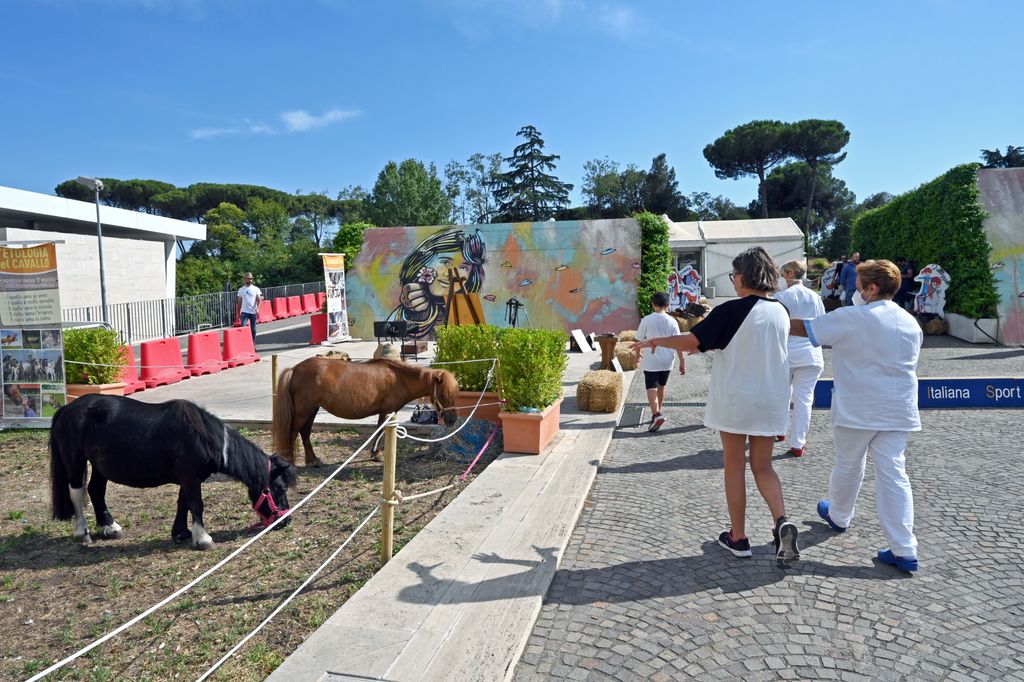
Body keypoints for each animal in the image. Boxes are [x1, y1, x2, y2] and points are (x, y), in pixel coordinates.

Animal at [50, 393, 299, 548]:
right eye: (278, 489)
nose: (285, 520)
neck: (204, 437)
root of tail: (67, 409)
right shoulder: (190, 477)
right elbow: (196, 504)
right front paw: (203, 539)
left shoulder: (189, 478)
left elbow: (184, 503)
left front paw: (181, 533)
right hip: (75, 462)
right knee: (77, 493)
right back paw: (82, 532)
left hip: (100, 466)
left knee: (96, 491)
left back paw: (110, 527)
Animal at [276, 352, 460, 464]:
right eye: (443, 395)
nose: (452, 420)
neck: (398, 378)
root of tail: (294, 370)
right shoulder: (387, 411)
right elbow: (380, 430)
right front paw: (376, 454)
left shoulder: (384, 412)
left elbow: (378, 430)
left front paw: (375, 453)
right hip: (303, 411)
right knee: (293, 433)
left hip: (312, 410)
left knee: (304, 433)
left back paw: (313, 461)